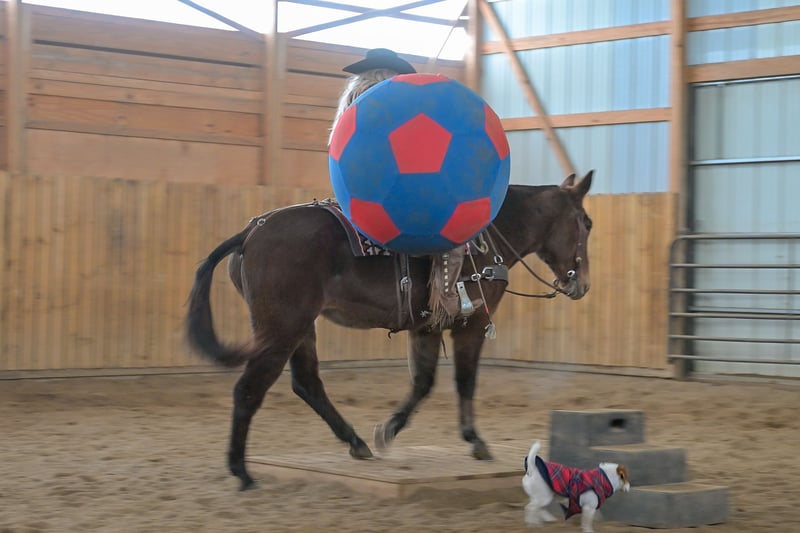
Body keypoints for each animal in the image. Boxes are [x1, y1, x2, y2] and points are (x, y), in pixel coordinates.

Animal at [186, 170, 593, 490]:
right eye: (586, 224)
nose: (583, 284)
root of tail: (250, 233)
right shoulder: (472, 324)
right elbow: (464, 381)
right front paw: (475, 441)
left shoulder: (426, 328)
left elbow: (423, 383)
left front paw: (388, 431)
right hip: (281, 328)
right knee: (249, 389)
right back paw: (241, 471)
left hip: (300, 327)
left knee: (307, 383)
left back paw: (356, 442)